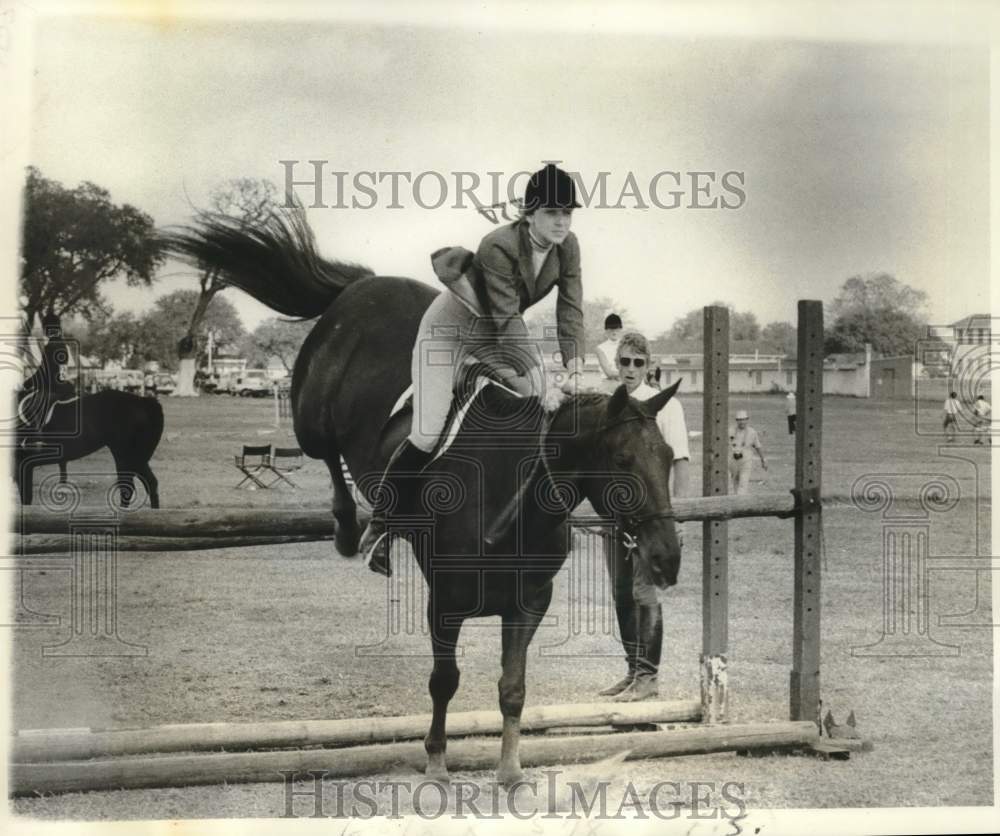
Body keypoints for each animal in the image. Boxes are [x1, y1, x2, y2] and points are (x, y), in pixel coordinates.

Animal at [14, 326, 163, 510]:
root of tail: (144, 401)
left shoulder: (21, 463)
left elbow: (25, 498)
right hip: (135, 455)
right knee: (150, 483)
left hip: (125, 454)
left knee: (128, 488)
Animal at [164, 204, 684, 784]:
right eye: (622, 461)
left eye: (667, 458)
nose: (666, 559)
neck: (513, 499)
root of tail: (364, 284)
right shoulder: (446, 601)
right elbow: (444, 680)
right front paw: (436, 763)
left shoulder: (529, 602)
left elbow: (513, 688)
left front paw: (510, 772)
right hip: (311, 413)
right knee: (326, 451)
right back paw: (354, 529)